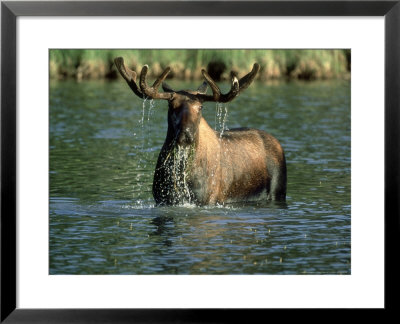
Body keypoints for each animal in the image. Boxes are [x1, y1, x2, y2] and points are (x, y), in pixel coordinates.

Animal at [114, 57, 286, 205]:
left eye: (200, 107)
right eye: (171, 105)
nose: (186, 135)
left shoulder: (207, 199)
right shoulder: (162, 199)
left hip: (278, 191)